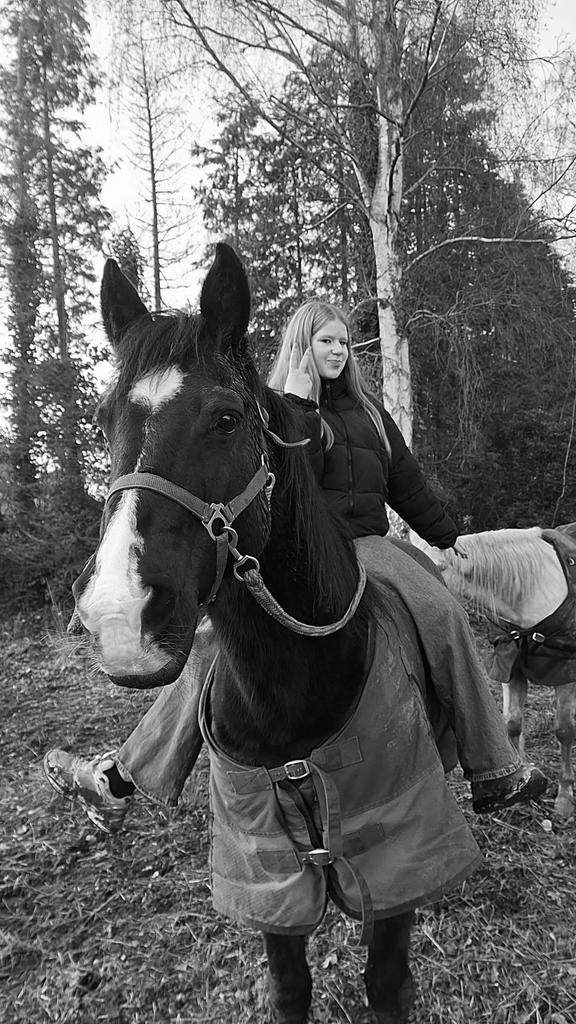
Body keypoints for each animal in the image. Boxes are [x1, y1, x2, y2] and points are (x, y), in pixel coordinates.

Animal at [422, 527, 576, 819]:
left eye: (438, 566)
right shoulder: (510, 667)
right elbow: (512, 724)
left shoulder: (564, 672)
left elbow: (564, 731)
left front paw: (564, 797)